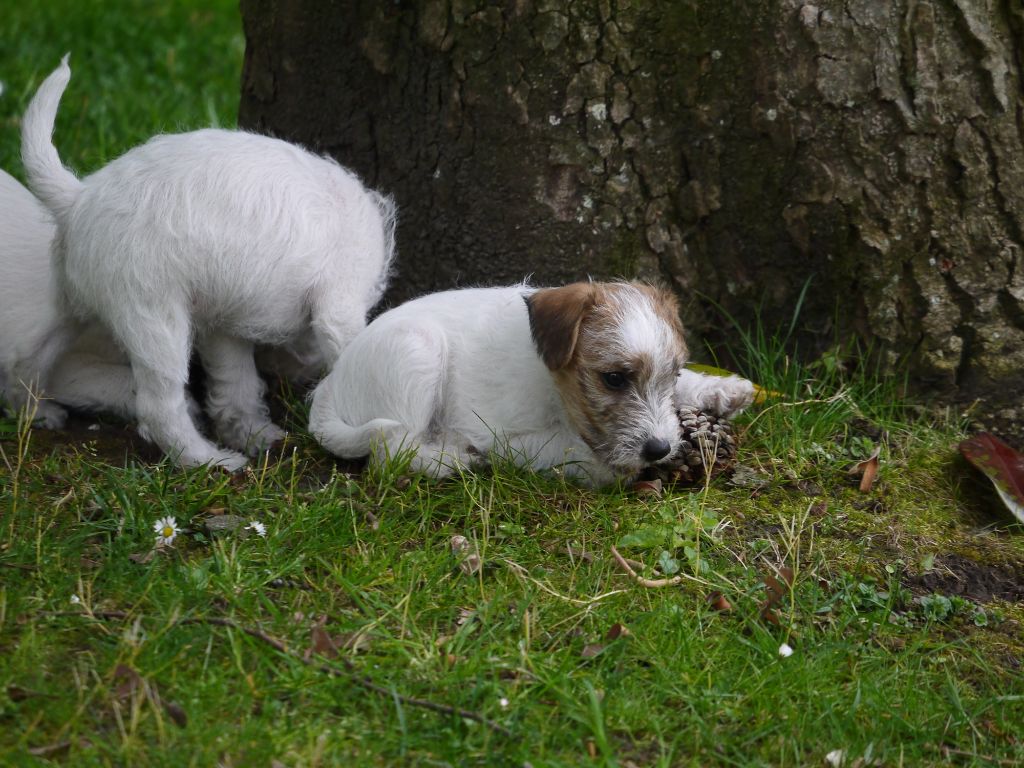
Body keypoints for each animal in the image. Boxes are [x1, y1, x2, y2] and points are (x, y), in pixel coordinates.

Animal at [19, 57, 395, 469]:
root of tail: (78, 197)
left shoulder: (223, 322)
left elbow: (235, 383)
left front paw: (252, 432)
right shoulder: (339, 302)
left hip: (66, 308)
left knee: (30, 362)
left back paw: (36, 412)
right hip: (153, 315)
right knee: (158, 408)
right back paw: (209, 462)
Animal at [309, 280, 726, 486]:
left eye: (672, 375)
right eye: (613, 379)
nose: (660, 449)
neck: (551, 381)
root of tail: (330, 384)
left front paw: (723, 389)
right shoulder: (504, 438)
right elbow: (567, 447)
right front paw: (606, 470)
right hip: (415, 350)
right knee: (391, 452)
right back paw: (451, 461)